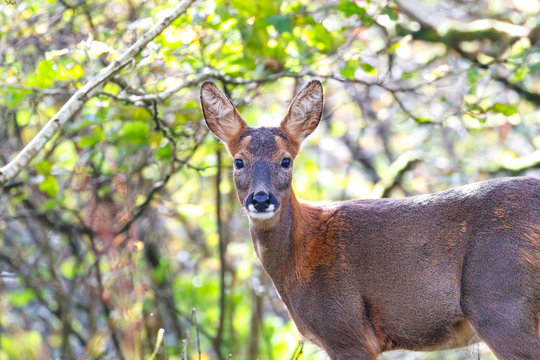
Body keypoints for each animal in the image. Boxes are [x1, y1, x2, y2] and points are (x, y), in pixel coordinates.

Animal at [200, 80, 540, 358]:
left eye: (286, 160)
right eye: (238, 161)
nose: (261, 199)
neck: (302, 254)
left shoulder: (347, 330)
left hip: (501, 302)